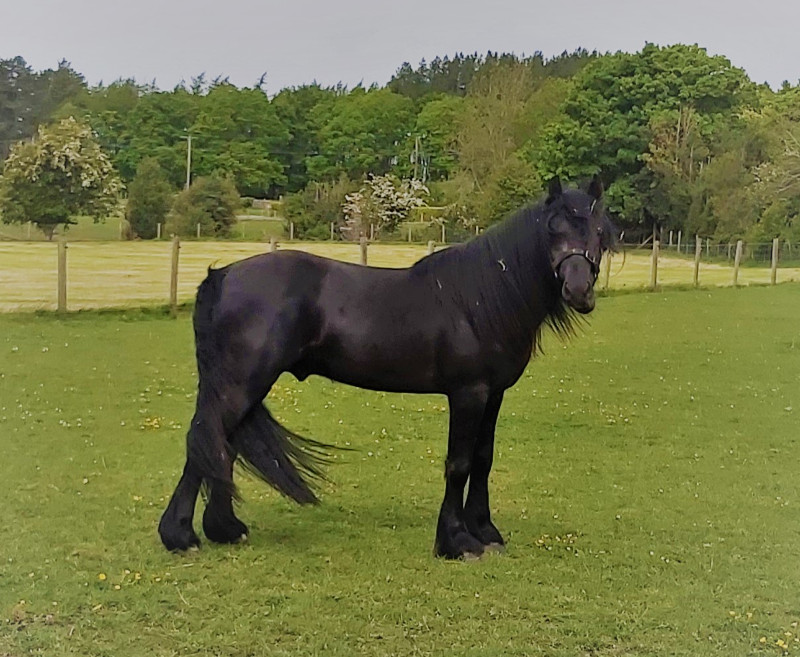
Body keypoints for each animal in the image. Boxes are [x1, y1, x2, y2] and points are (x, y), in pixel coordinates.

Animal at [159, 177, 616, 556]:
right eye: (553, 228)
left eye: (597, 232)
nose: (579, 291)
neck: (481, 299)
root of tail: (223, 276)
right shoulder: (468, 393)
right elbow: (459, 463)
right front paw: (456, 541)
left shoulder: (494, 393)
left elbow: (483, 459)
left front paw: (486, 532)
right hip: (241, 384)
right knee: (204, 440)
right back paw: (180, 536)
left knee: (220, 444)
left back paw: (225, 529)